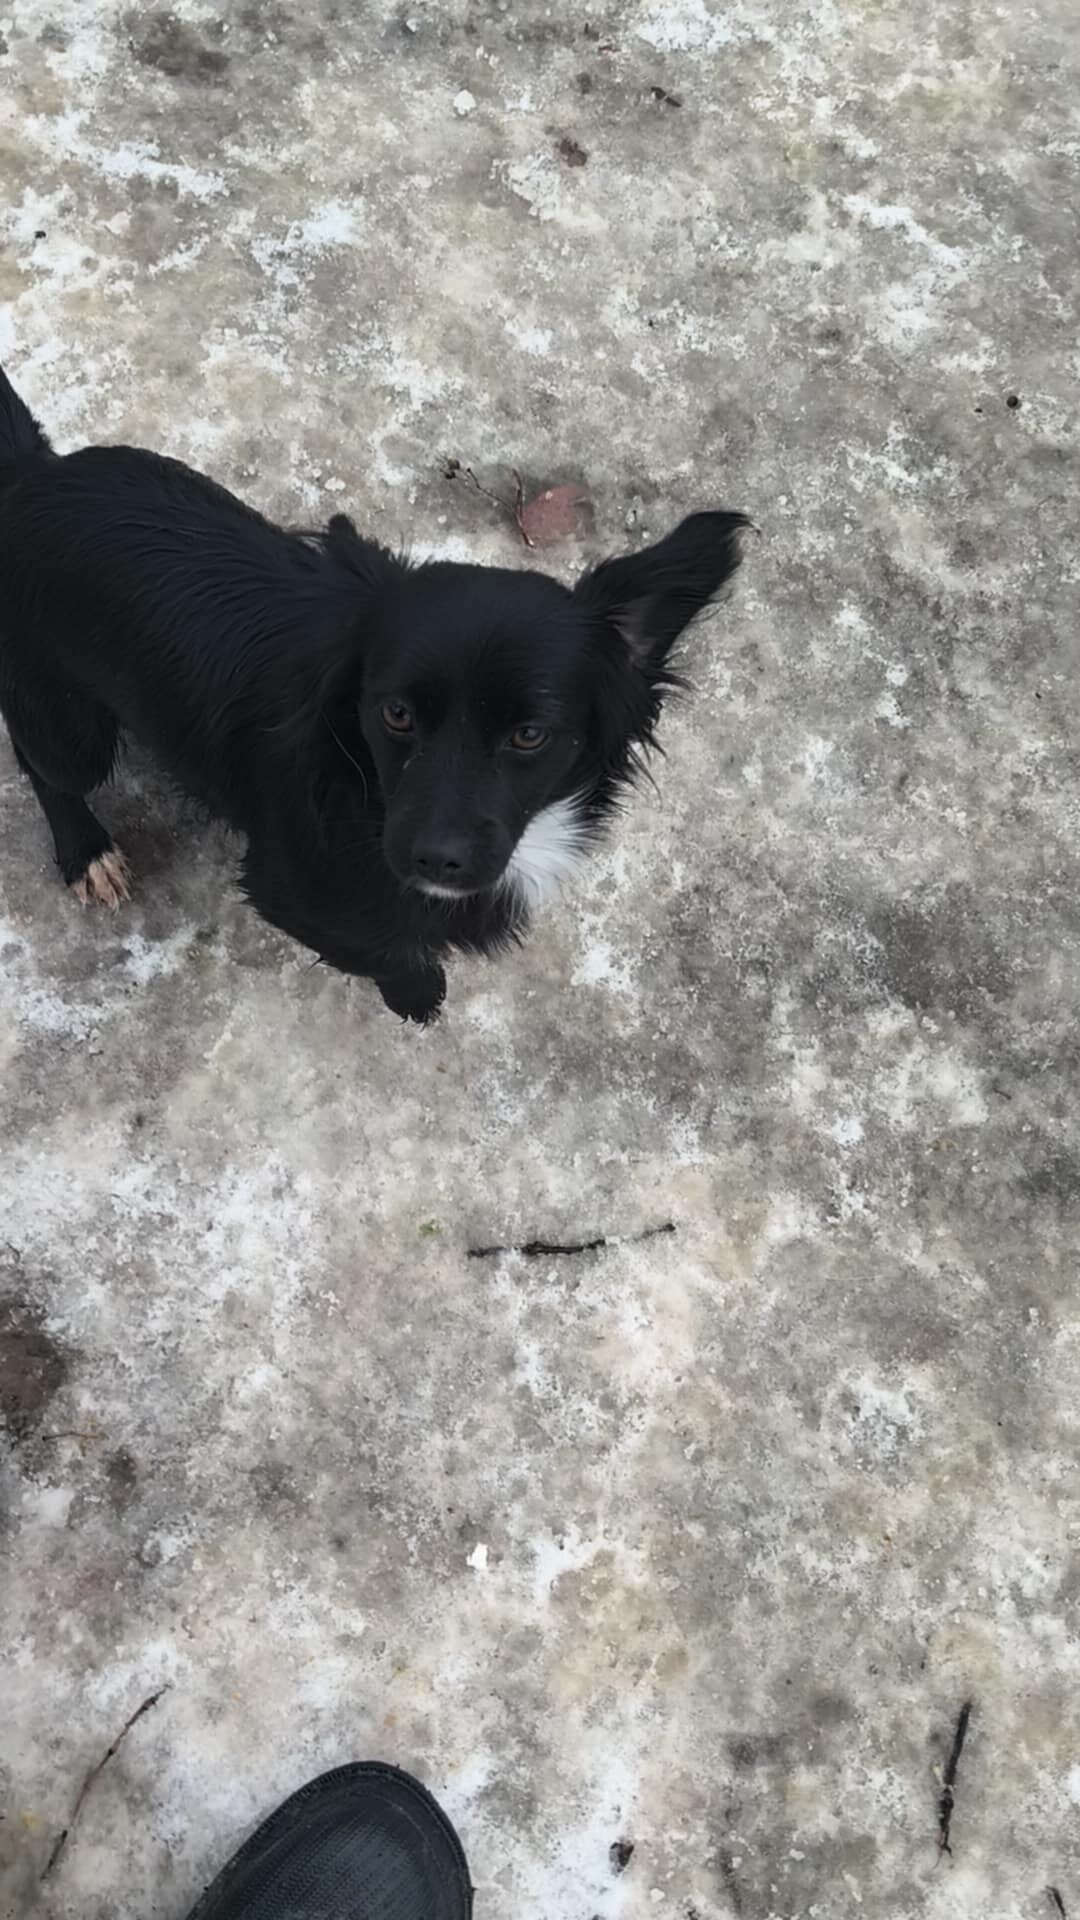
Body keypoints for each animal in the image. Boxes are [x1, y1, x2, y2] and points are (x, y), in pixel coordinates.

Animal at [0, 362, 747, 1023]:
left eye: (530, 733)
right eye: (396, 713)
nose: (435, 858)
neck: (362, 789)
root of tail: (35, 477)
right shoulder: (281, 887)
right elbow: (380, 950)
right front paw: (417, 996)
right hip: (71, 730)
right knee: (43, 763)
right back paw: (85, 851)